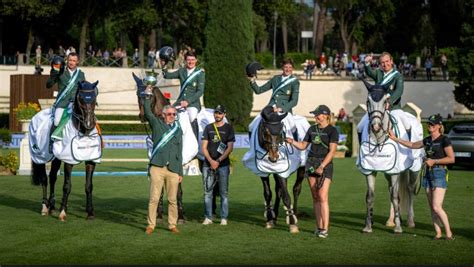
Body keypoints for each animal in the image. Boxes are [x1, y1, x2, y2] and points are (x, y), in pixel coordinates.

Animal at [32, 80, 100, 222]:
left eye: (94, 98)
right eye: (80, 99)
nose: (89, 123)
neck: (83, 132)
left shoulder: (91, 161)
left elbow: (89, 186)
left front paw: (90, 212)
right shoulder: (68, 160)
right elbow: (67, 186)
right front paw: (63, 212)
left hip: (56, 159)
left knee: (52, 177)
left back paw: (52, 206)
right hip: (40, 157)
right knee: (44, 179)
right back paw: (44, 207)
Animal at [358, 79, 424, 234]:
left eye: (386, 101)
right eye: (368, 101)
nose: (375, 126)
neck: (378, 139)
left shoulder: (395, 171)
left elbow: (395, 197)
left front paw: (398, 227)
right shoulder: (370, 170)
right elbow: (370, 197)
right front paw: (368, 226)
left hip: (414, 169)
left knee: (410, 190)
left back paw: (410, 221)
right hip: (389, 173)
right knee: (391, 190)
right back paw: (390, 220)